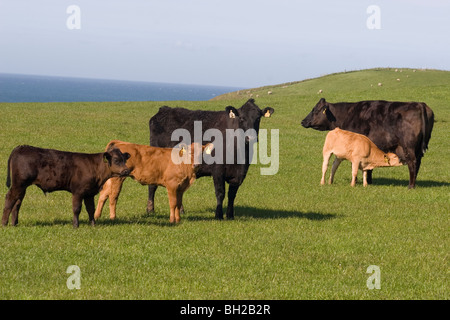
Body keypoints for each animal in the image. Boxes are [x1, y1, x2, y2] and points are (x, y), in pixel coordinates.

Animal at [2, 145, 130, 228]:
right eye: (116, 160)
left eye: (124, 160)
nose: (126, 170)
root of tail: (21, 147)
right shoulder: (78, 191)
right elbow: (77, 209)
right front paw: (76, 225)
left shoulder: (89, 193)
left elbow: (91, 209)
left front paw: (93, 225)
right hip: (18, 184)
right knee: (9, 199)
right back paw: (4, 223)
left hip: (22, 187)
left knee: (17, 202)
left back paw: (14, 223)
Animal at [300, 97, 434, 188]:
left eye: (315, 110)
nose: (303, 121)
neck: (347, 114)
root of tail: (419, 104)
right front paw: (368, 181)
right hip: (418, 150)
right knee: (417, 164)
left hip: (408, 147)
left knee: (412, 163)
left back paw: (410, 185)